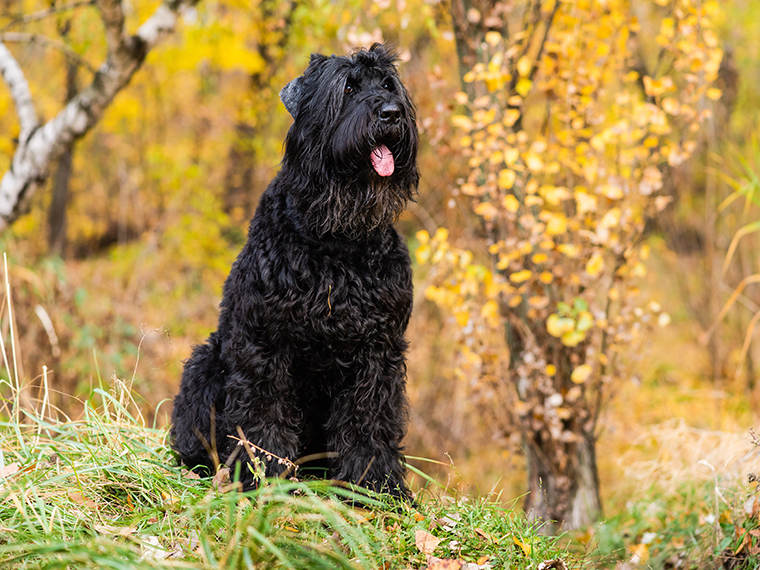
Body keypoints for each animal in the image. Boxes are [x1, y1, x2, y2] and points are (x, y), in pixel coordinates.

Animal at [171, 44, 418, 496]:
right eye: (348, 87)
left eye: (389, 84)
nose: (391, 113)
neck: (338, 236)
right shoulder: (265, 340)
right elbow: (264, 410)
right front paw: (264, 474)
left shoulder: (378, 349)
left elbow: (370, 417)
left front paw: (376, 484)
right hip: (204, 363)